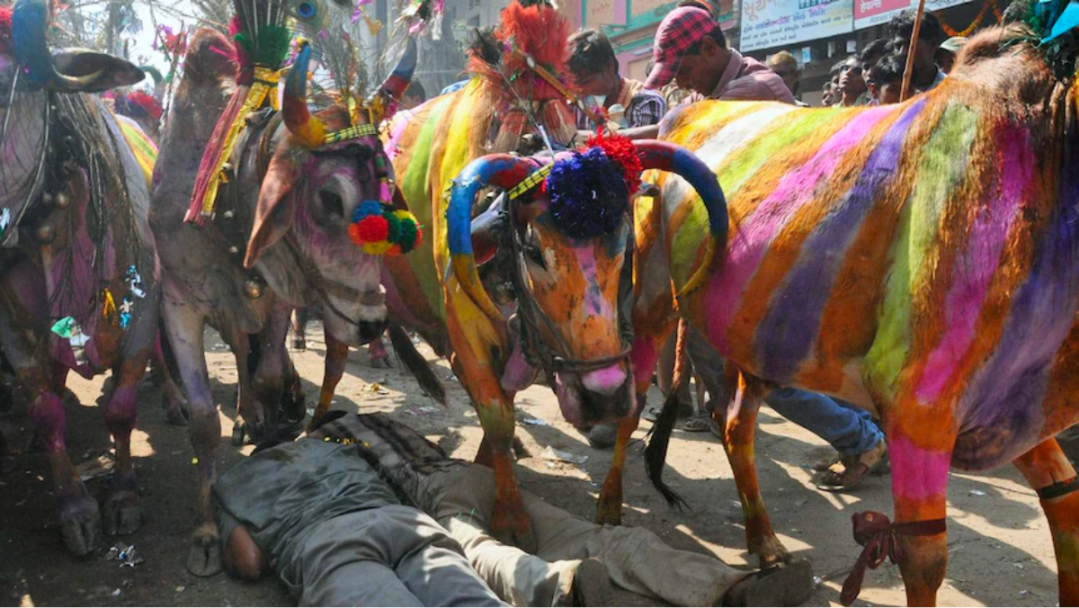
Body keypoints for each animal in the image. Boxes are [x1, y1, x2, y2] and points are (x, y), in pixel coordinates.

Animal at [0, 0, 161, 556]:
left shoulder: (143, 312)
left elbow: (122, 409)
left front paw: (125, 497)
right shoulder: (11, 326)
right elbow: (46, 407)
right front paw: (75, 508)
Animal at [151, 30, 415, 575]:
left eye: (386, 192)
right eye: (330, 198)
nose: (372, 324)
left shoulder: (274, 298)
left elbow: (270, 377)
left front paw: (269, 438)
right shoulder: (179, 303)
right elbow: (203, 421)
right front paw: (205, 532)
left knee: (243, 355)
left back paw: (250, 417)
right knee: (235, 351)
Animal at [635, 25, 1079, 606]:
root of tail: (685, 110)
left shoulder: (1009, 404)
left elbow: (1065, 507)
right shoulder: (919, 404)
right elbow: (924, 558)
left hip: (752, 341)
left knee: (733, 425)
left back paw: (766, 543)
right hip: (650, 299)